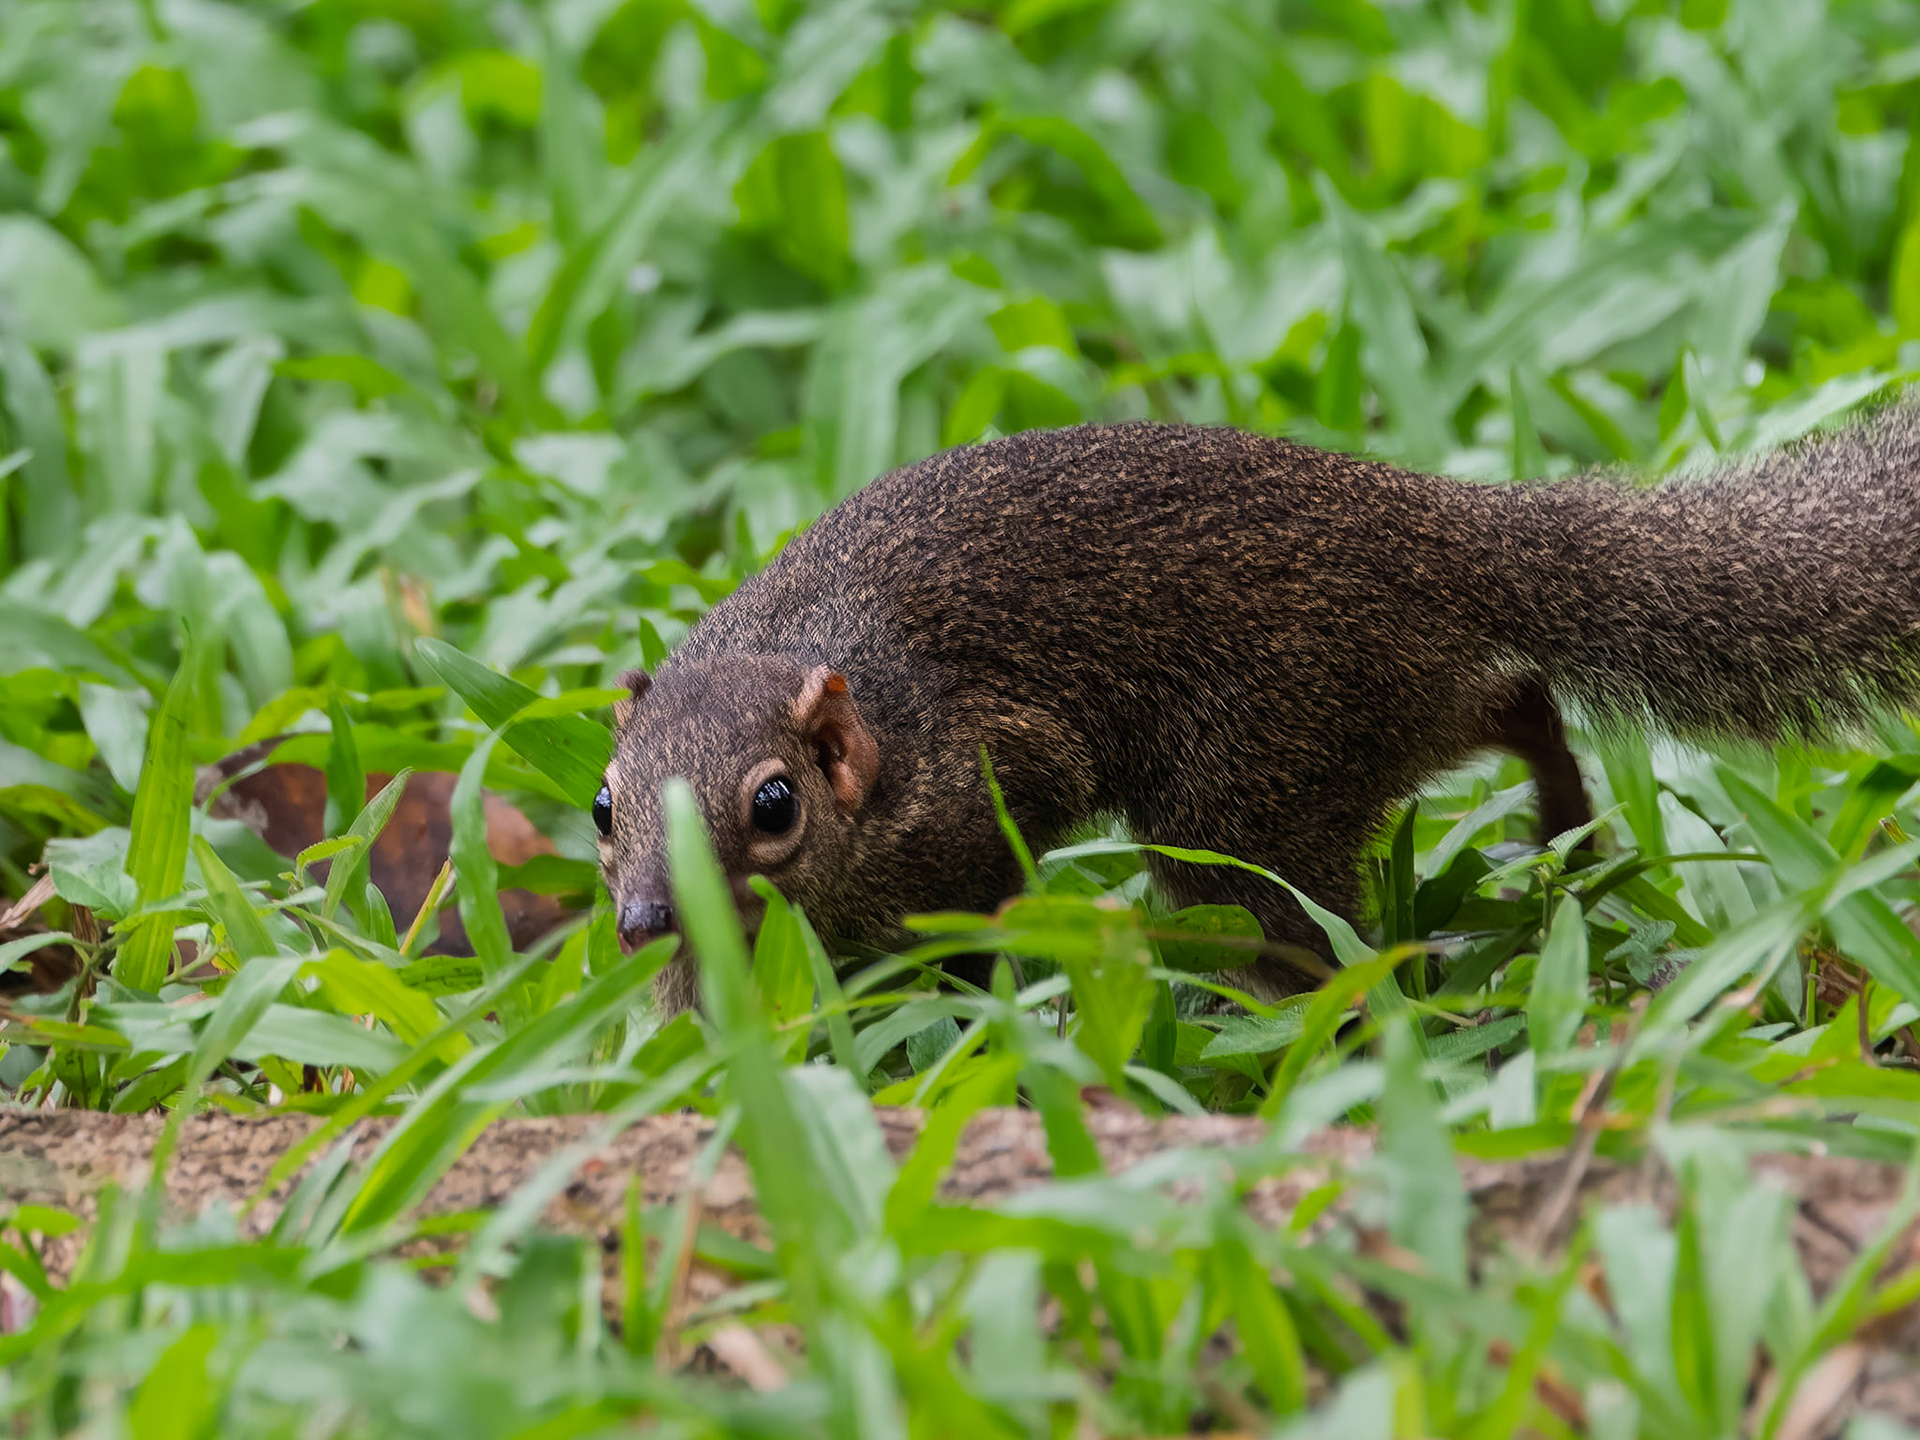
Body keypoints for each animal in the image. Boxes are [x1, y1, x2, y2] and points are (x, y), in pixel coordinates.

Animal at [598, 413, 1920, 1013]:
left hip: (1253, 774)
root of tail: (1435, 529)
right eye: (604, 807)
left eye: (775, 804)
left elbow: (974, 901)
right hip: (1379, 709)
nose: (644, 916)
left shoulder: (994, 764)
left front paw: (954, 996)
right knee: (1517, 697)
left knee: (1304, 916)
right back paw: (1561, 827)